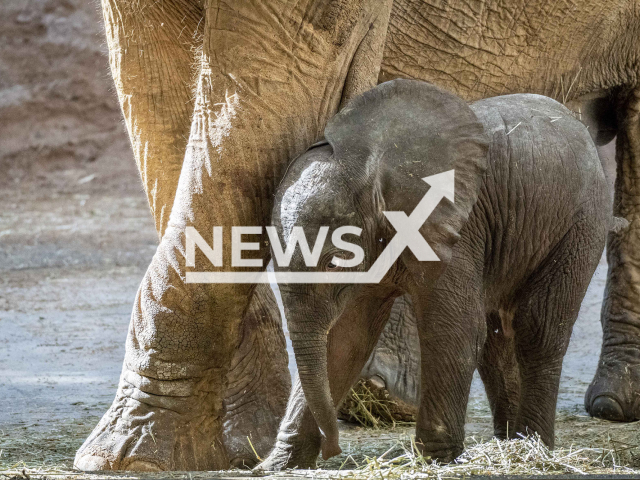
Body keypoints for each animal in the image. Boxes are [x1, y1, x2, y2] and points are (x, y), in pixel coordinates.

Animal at [256, 79, 608, 468]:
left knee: (538, 328)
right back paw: (509, 444)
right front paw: (277, 465)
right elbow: (346, 337)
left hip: (581, 222)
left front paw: (438, 459)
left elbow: (453, 326)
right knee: (497, 337)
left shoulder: (453, 226)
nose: (333, 448)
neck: (369, 162)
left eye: (334, 263)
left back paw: (533, 446)